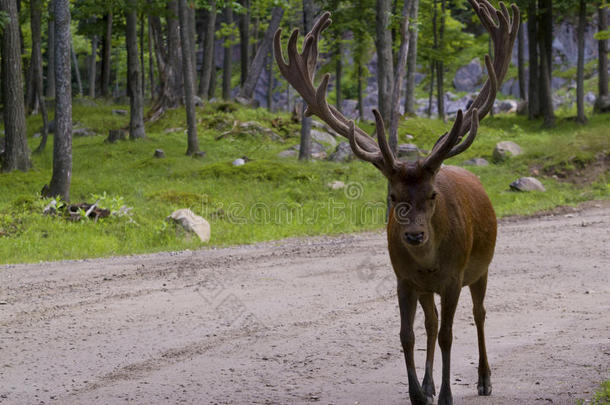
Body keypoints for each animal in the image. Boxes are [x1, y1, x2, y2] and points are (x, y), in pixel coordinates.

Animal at [276, 0, 516, 404]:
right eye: (393, 196)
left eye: (433, 194)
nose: (415, 236)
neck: (430, 263)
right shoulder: (404, 279)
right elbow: (407, 335)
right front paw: (418, 393)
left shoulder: (453, 278)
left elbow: (450, 335)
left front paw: (448, 395)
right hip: (426, 289)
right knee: (431, 323)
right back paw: (430, 383)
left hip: (481, 268)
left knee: (480, 313)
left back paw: (484, 379)